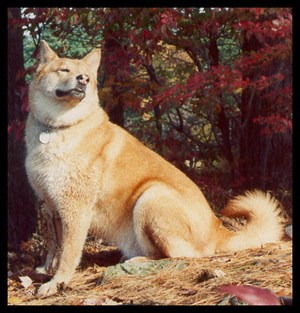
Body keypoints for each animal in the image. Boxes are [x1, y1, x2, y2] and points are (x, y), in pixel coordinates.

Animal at [24, 40, 284, 296]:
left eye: (87, 75)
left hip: (151, 197)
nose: (83, 80)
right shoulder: (50, 206)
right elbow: (54, 246)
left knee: (180, 255)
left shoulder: (75, 209)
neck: (58, 127)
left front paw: (56, 282)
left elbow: (68, 253)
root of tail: (216, 229)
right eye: (64, 70)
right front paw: (47, 270)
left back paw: (136, 263)